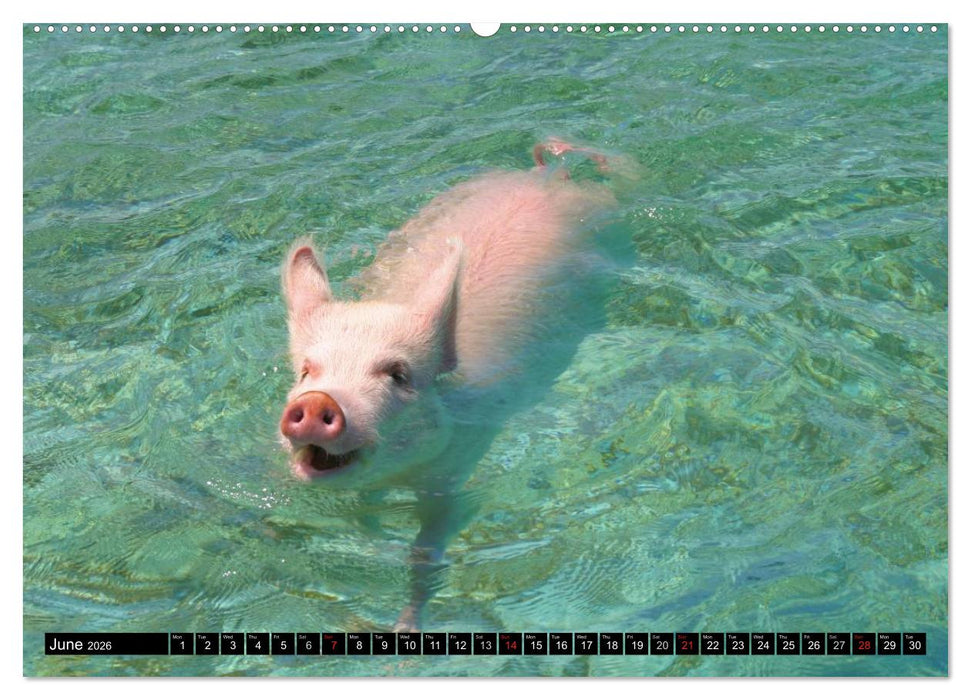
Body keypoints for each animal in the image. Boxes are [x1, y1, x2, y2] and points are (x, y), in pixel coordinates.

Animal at [279, 139, 625, 631]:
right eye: (307, 371)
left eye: (399, 374)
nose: (315, 401)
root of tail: (548, 177)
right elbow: (365, 512)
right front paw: (377, 537)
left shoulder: (457, 468)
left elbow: (427, 549)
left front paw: (405, 629)